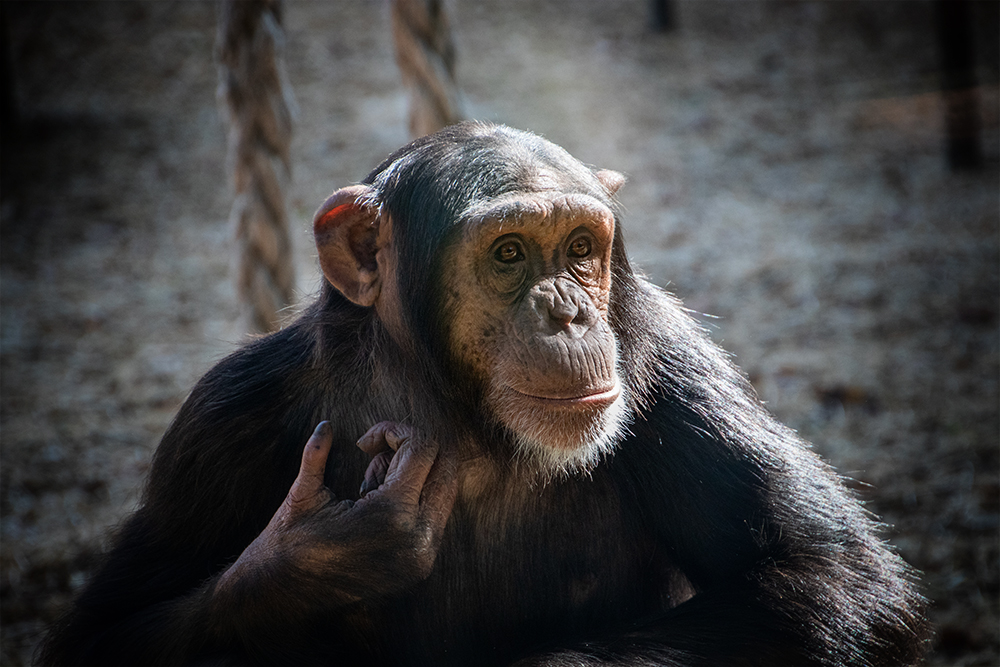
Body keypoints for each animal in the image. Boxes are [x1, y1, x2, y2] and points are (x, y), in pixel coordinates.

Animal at [39, 122, 928, 664]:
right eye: (507, 253)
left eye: (580, 247)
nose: (569, 311)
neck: (464, 421)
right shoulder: (222, 421)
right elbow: (107, 632)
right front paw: (323, 550)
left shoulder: (672, 366)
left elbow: (831, 578)